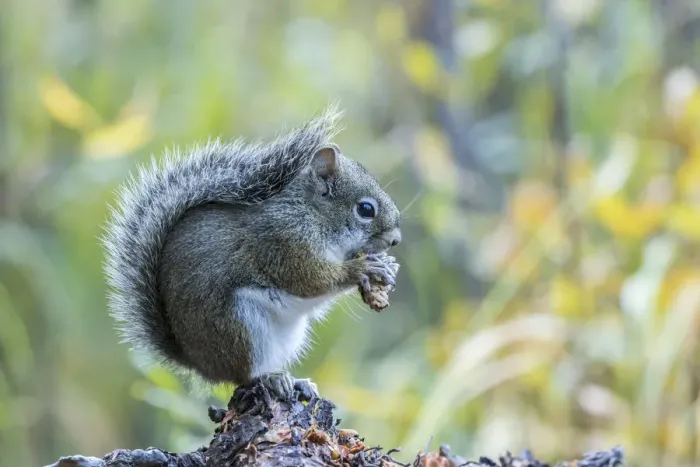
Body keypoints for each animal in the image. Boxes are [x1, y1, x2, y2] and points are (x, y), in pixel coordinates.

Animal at [102, 106, 402, 400]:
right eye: (365, 209)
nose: (396, 240)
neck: (311, 213)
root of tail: (200, 364)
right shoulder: (283, 242)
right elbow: (311, 279)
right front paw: (362, 269)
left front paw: (386, 265)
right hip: (240, 327)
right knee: (243, 376)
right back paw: (270, 378)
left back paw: (298, 382)